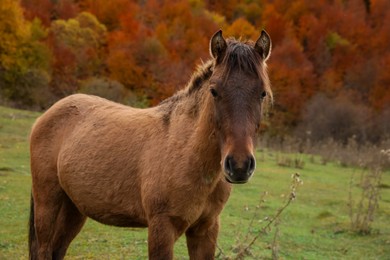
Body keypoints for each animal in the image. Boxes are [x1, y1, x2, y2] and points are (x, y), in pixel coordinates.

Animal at [28, 29, 272, 258]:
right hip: (47, 201)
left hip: (75, 207)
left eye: (262, 93)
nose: (239, 165)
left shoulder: (206, 229)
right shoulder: (161, 227)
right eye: (214, 91)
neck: (187, 152)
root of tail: (50, 112)